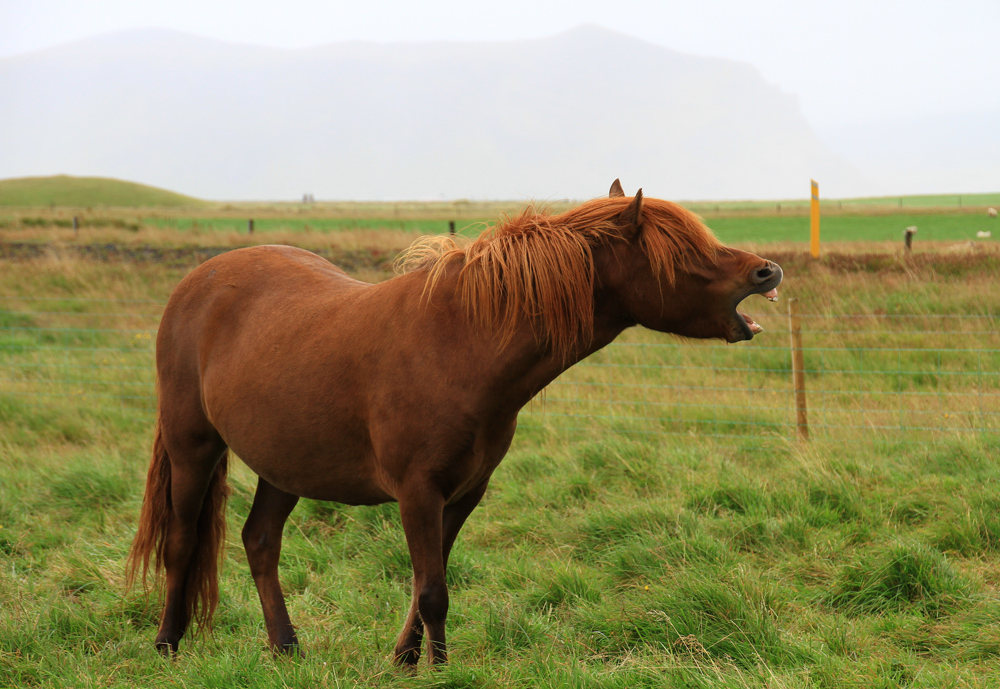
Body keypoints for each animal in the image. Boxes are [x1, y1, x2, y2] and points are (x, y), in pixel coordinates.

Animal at [127, 180, 780, 664]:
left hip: (284, 464)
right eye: (686, 252)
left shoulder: (463, 493)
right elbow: (433, 590)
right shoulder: (417, 492)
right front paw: (439, 669)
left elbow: (427, 585)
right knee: (182, 541)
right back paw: (167, 643)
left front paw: (408, 659)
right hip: (193, 446)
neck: (462, 344)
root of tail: (197, 281)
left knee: (260, 541)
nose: (767, 272)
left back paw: (286, 647)